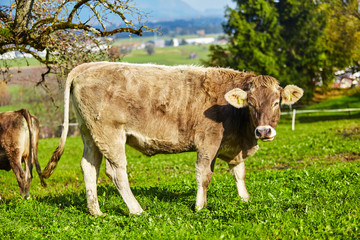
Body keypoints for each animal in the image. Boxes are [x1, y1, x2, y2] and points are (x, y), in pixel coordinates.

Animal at [40, 62, 302, 216]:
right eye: (251, 104)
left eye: (276, 102)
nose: (264, 132)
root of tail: (90, 66)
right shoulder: (208, 141)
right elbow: (204, 175)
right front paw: (200, 206)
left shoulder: (232, 147)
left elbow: (239, 172)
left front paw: (245, 200)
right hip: (109, 133)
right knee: (116, 172)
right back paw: (136, 210)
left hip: (89, 133)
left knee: (89, 167)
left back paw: (96, 211)